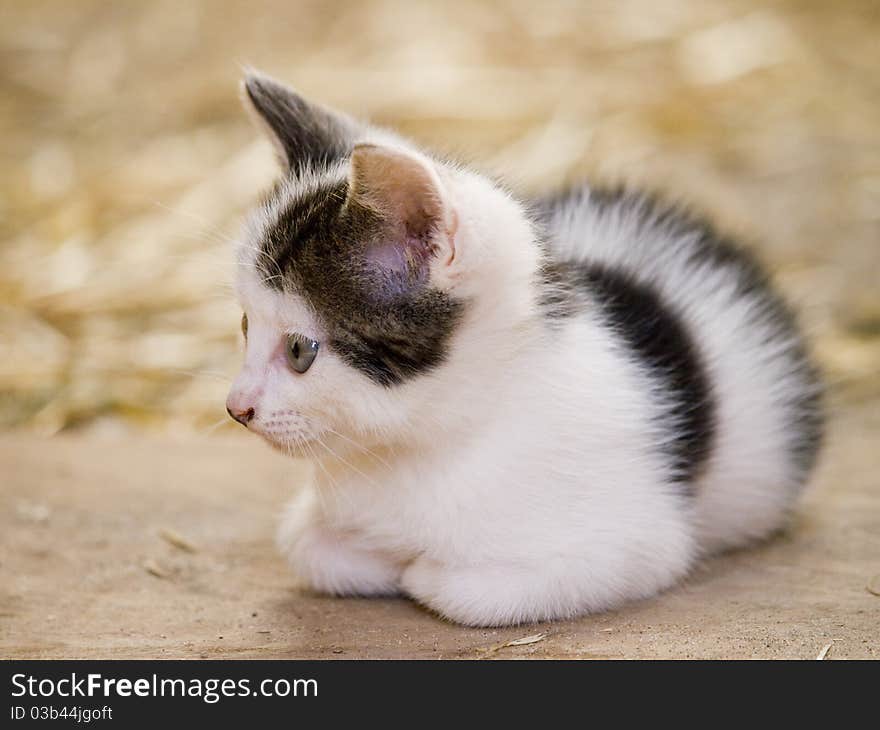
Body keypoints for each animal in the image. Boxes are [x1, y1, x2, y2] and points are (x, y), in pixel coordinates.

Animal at [227, 72, 824, 624]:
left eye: (301, 351)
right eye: (246, 325)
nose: (236, 408)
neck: (428, 442)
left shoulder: (639, 543)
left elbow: (462, 590)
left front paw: (417, 570)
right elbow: (306, 545)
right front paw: (372, 555)